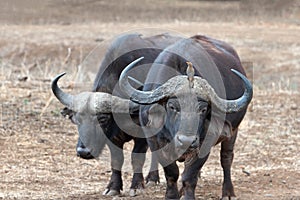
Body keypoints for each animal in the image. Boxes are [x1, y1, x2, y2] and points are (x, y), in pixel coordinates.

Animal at [51, 33, 180, 196]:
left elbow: (137, 158)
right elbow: (117, 160)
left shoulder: (142, 136)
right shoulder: (112, 139)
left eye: (102, 118)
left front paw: (136, 186)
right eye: (76, 119)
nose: (83, 151)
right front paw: (113, 187)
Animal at [118, 35, 252, 199]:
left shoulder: (206, 141)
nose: (187, 140)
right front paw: (171, 195)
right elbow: (172, 172)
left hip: (233, 132)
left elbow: (190, 174)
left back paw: (228, 192)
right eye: (172, 107)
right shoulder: (154, 140)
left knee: (226, 159)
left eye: (203, 109)